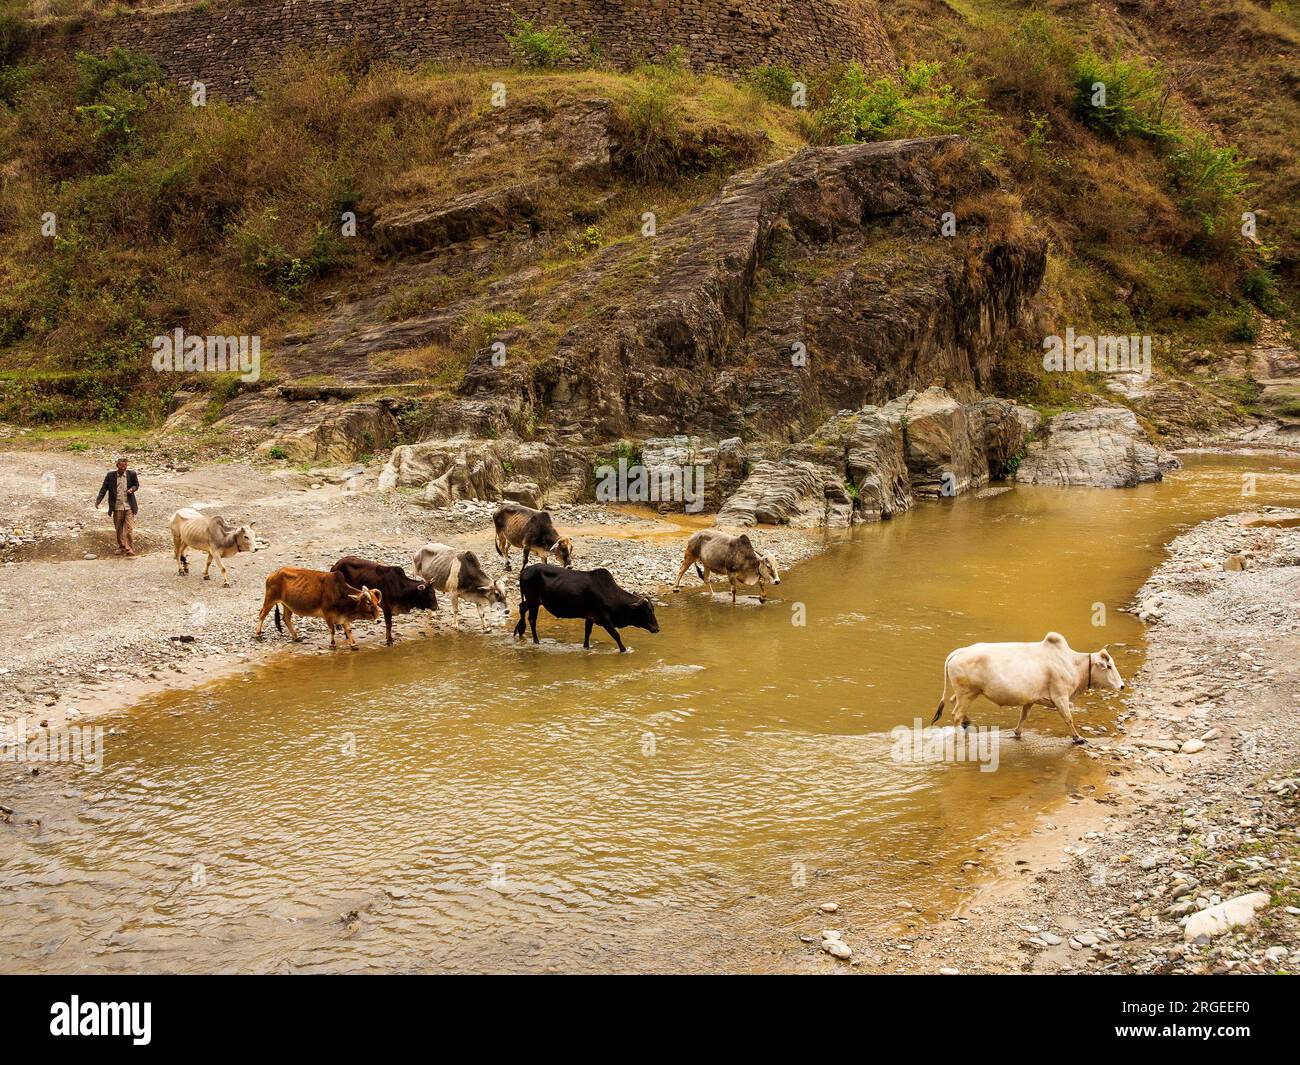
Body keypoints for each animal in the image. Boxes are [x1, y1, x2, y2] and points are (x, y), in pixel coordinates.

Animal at [249, 566, 379, 650]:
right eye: (368, 603)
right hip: (270, 599)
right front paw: (332, 644)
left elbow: (348, 630)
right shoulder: (328, 614)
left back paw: (296, 637)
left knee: (286, 618)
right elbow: (332, 630)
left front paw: (353, 644)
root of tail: (273, 574)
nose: (378, 619)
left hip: (287, 605)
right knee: (262, 614)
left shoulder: (343, 616)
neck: (340, 593)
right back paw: (258, 634)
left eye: (377, 602)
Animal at [514, 566, 660, 650]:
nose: (656, 628)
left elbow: (587, 634)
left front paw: (586, 648)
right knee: (532, 620)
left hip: (534, 602)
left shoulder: (590, 617)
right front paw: (624, 650)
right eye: (647, 611)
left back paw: (519, 631)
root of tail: (525, 570)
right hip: (533, 601)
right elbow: (616, 635)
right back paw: (536, 641)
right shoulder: (605, 619)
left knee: (521, 607)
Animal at [930, 631, 1123, 743]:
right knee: (956, 714)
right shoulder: (1060, 696)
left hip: (967, 693)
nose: (1122, 686)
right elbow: (1068, 718)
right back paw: (958, 736)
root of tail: (958, 652)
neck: (1073, 664)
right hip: (967, 693)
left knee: (954, 704)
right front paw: (1078, 738)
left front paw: (1017, 733)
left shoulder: (1030, 699)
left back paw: (967, 723)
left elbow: (1023, 716)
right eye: (1109, 666)